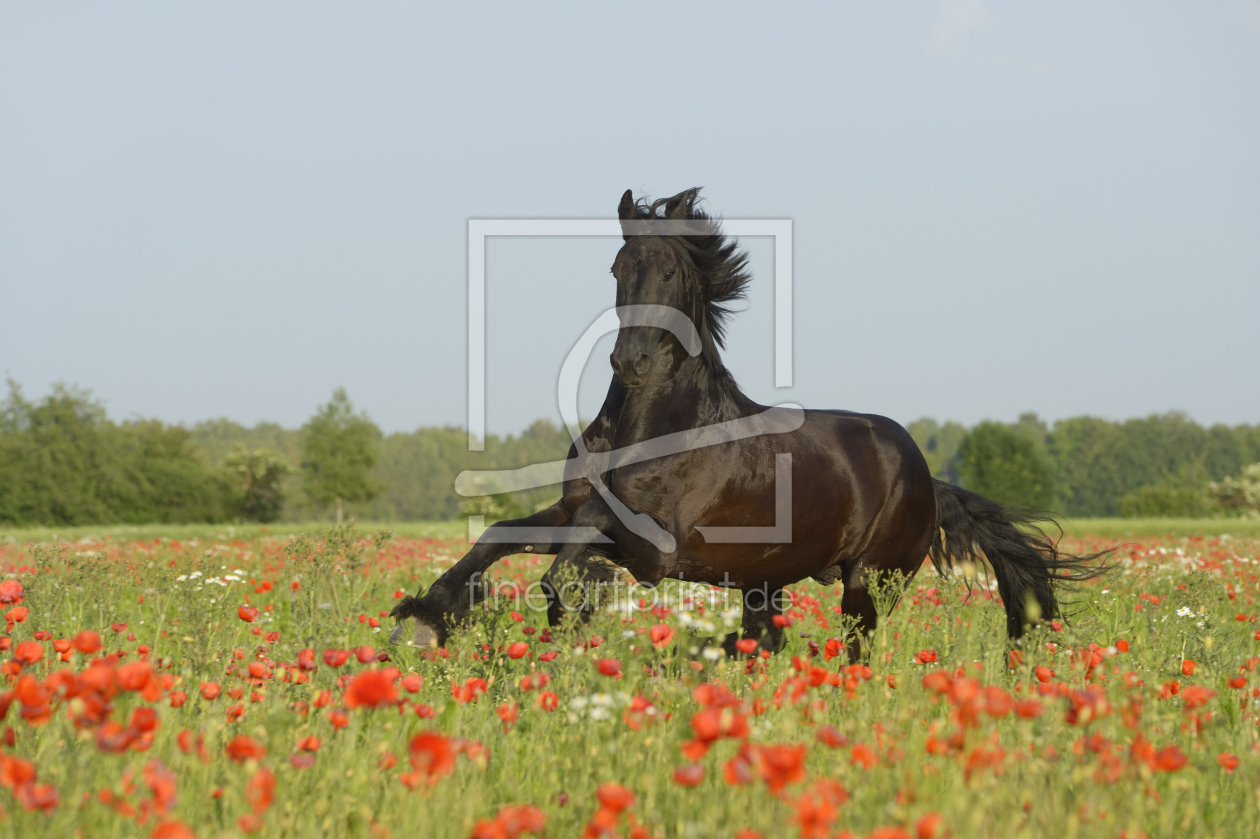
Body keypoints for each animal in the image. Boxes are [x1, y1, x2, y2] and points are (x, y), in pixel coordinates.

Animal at [390, 186, 1103, 655]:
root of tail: (928, 477)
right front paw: (426, 617)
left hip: (870, 581)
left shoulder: (654, 549)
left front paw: (565, 599)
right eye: (619, 268)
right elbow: (501, 534)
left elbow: (579, 543)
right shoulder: (571, 512)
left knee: (857, 651)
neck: (650, 428)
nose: (632, 360)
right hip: (765, 582)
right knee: (769, 641)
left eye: (670, 271)